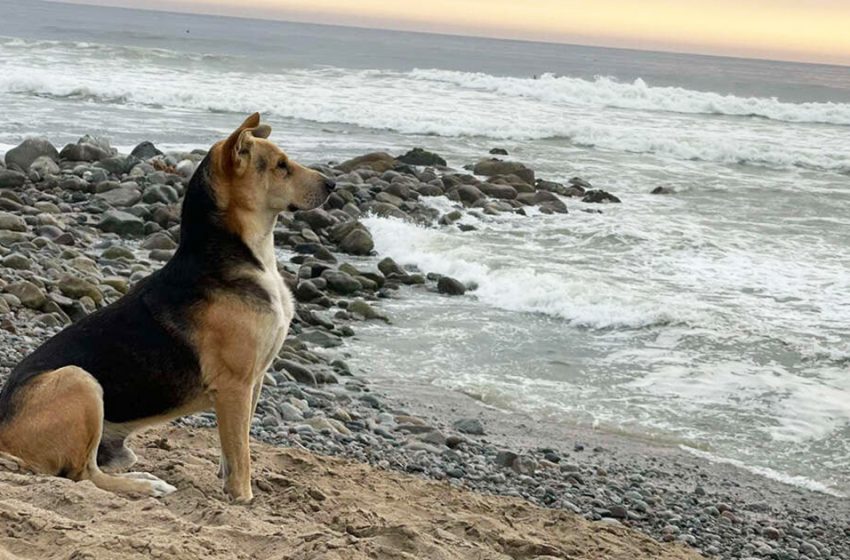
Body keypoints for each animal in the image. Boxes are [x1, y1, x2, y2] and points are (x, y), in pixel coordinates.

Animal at [0, 112, 334, 504]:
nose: (333, 185)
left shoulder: (254, 381)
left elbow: (234, 447)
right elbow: (241, 454)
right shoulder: (235, 386)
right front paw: (244, 498)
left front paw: (229, 484)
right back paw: (146, 485)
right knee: (83, 475)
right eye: (281, 166)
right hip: (79, 380)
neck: (240, 254)